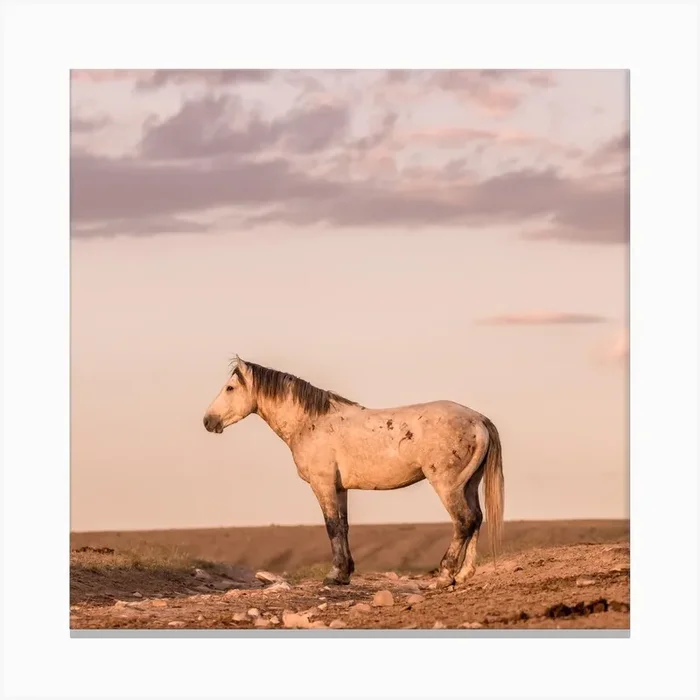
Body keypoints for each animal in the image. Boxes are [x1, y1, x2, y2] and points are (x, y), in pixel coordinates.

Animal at [203, 356, 504, 587]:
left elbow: (332, 526)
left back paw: (445, 575)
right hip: (468, 484)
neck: (310, 422)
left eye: (230, 388)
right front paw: (345, 573)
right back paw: (464, 574)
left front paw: (334, 575)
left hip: (447, 485)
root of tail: (478, 420)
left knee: (463, 522)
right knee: (476, 519)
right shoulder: (340, 488)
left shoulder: (322, 485)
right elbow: (344, 526)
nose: (208, 421)